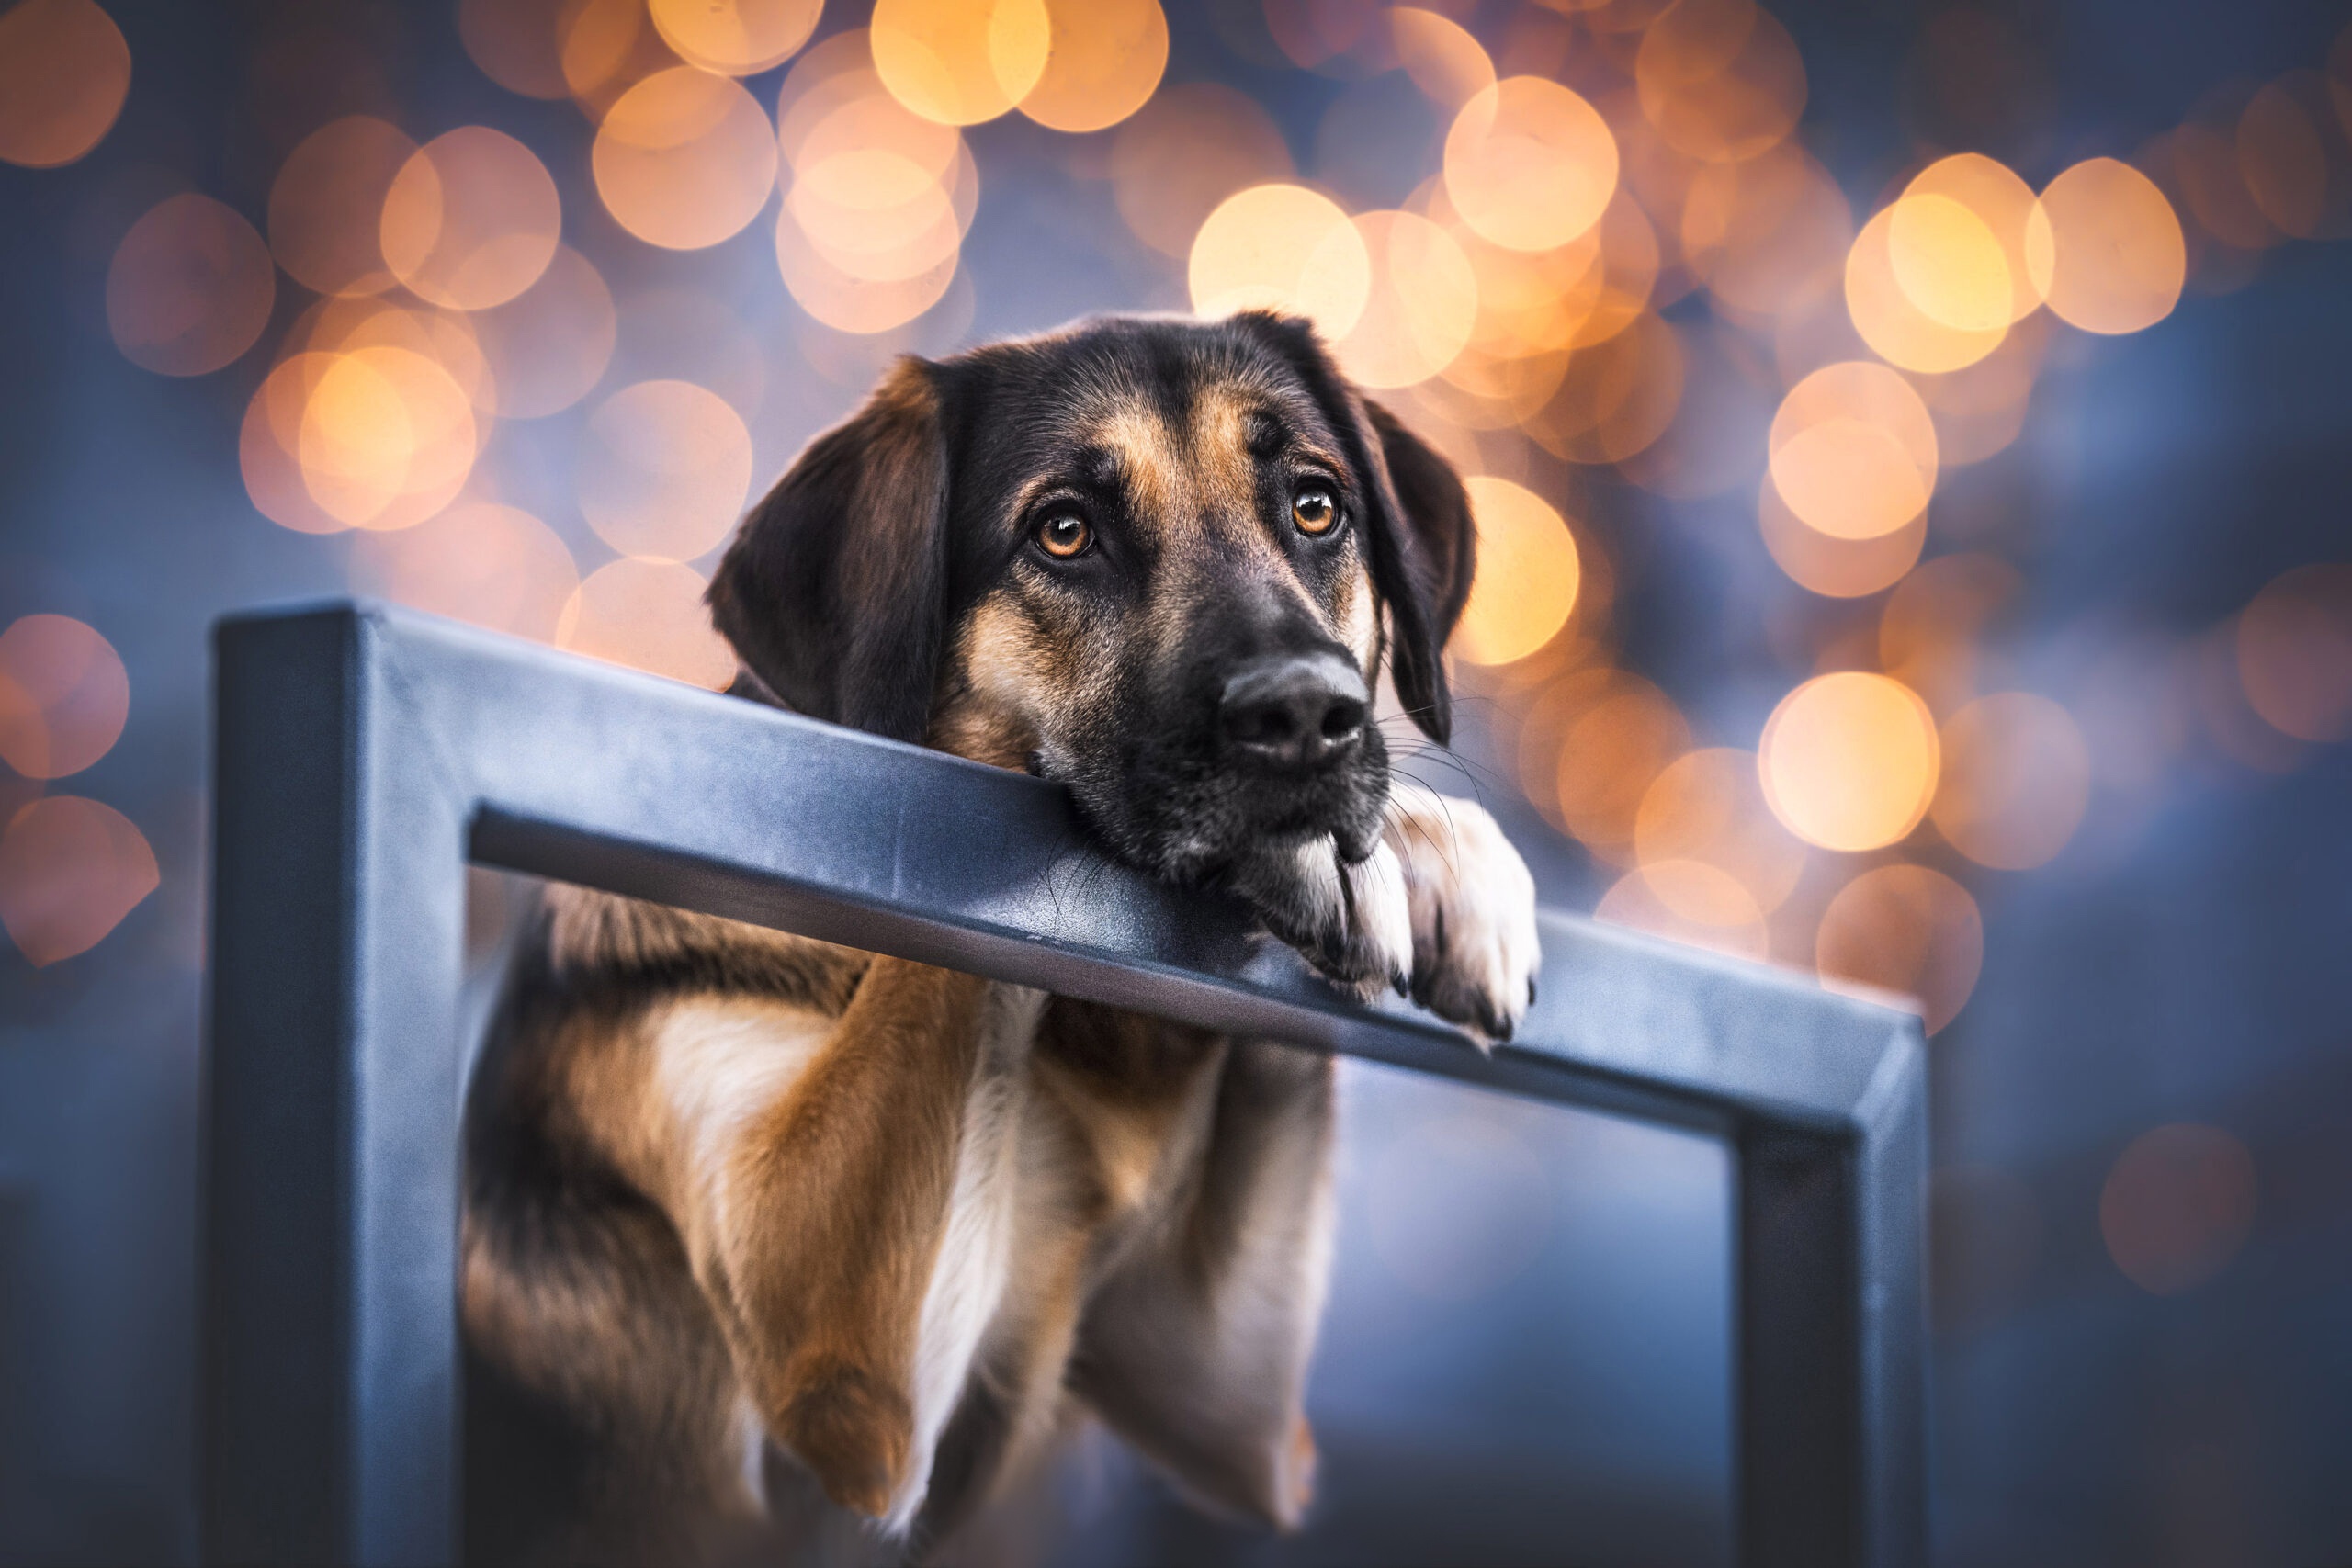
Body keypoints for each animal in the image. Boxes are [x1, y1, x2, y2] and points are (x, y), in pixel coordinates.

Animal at [463, 312, 1543, 1561]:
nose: (1309, 718)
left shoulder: (1227, 1399)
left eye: (1316, 506)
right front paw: (1329, 853)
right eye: (1062, 532)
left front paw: (1433, 848)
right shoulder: (835, 1365)